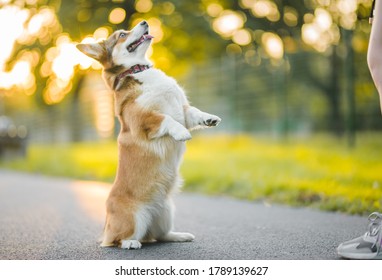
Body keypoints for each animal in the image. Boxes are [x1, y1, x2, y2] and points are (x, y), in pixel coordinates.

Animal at [77, 20, 221, 249]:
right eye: (122, 34)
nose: (144, 22)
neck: (139, 70)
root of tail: (106, 226)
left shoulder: (184, 111)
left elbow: (194, 112)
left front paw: (209, 119)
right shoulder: (143, 120)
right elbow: (166, 119)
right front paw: (181, 133)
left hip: (166, 212)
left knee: (160, 235)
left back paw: (179, 235)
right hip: (135, 217)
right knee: (117, 240)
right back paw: (130, 243)